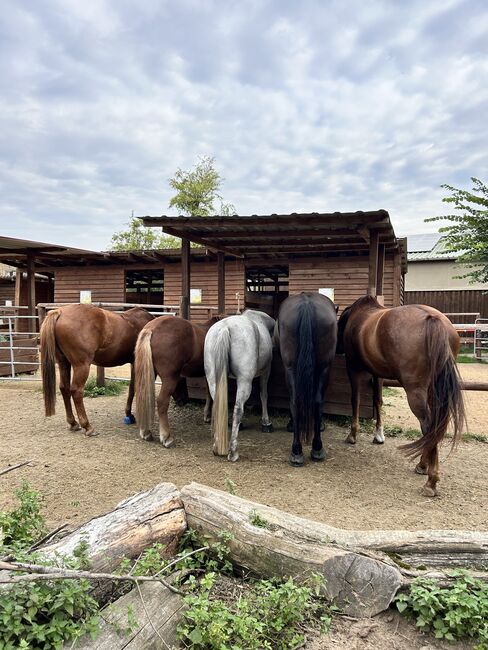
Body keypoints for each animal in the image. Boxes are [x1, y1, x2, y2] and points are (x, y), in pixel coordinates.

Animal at [41, 304, 153, 436]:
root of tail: (60, 312)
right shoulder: (136, 363)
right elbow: (133, 388)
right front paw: (129, 414)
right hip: (82, 365)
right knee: (76, 391)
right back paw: (87, 426)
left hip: (64, 363)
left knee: (64, 388)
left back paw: (73, 423)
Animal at [133, 314, 217, 446]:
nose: (184, 401)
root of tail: (151, 328)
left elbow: (208, 392)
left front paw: (207, 415)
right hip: (169, 378)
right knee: (162, 402)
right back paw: (166, 437)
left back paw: (146, 432)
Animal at [203, 308, 274, 460]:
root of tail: (225, 328)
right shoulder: (266, 371)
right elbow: (263, 394)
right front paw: (266, 422)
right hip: (245, 380)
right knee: (238, 409)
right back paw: (233, 451)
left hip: (213, 380)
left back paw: (217, 446)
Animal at [276, 292, 338, 466]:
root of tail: (306, 303)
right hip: (320, 367)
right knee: (313, 401)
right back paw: (313, 448)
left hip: (294, 368)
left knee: (300, 401)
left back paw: (300, 450)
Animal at [336, 294, 466, 496]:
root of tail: (433, 319)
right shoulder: (377, 373)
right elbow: (378, 401)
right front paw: (379, 435)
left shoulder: (354, 369)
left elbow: (355, 400)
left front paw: (353, 434)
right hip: (433, 390)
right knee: (433, 428)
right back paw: (423, 466)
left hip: (415, 391)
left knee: (428, 425)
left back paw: (430, 481)